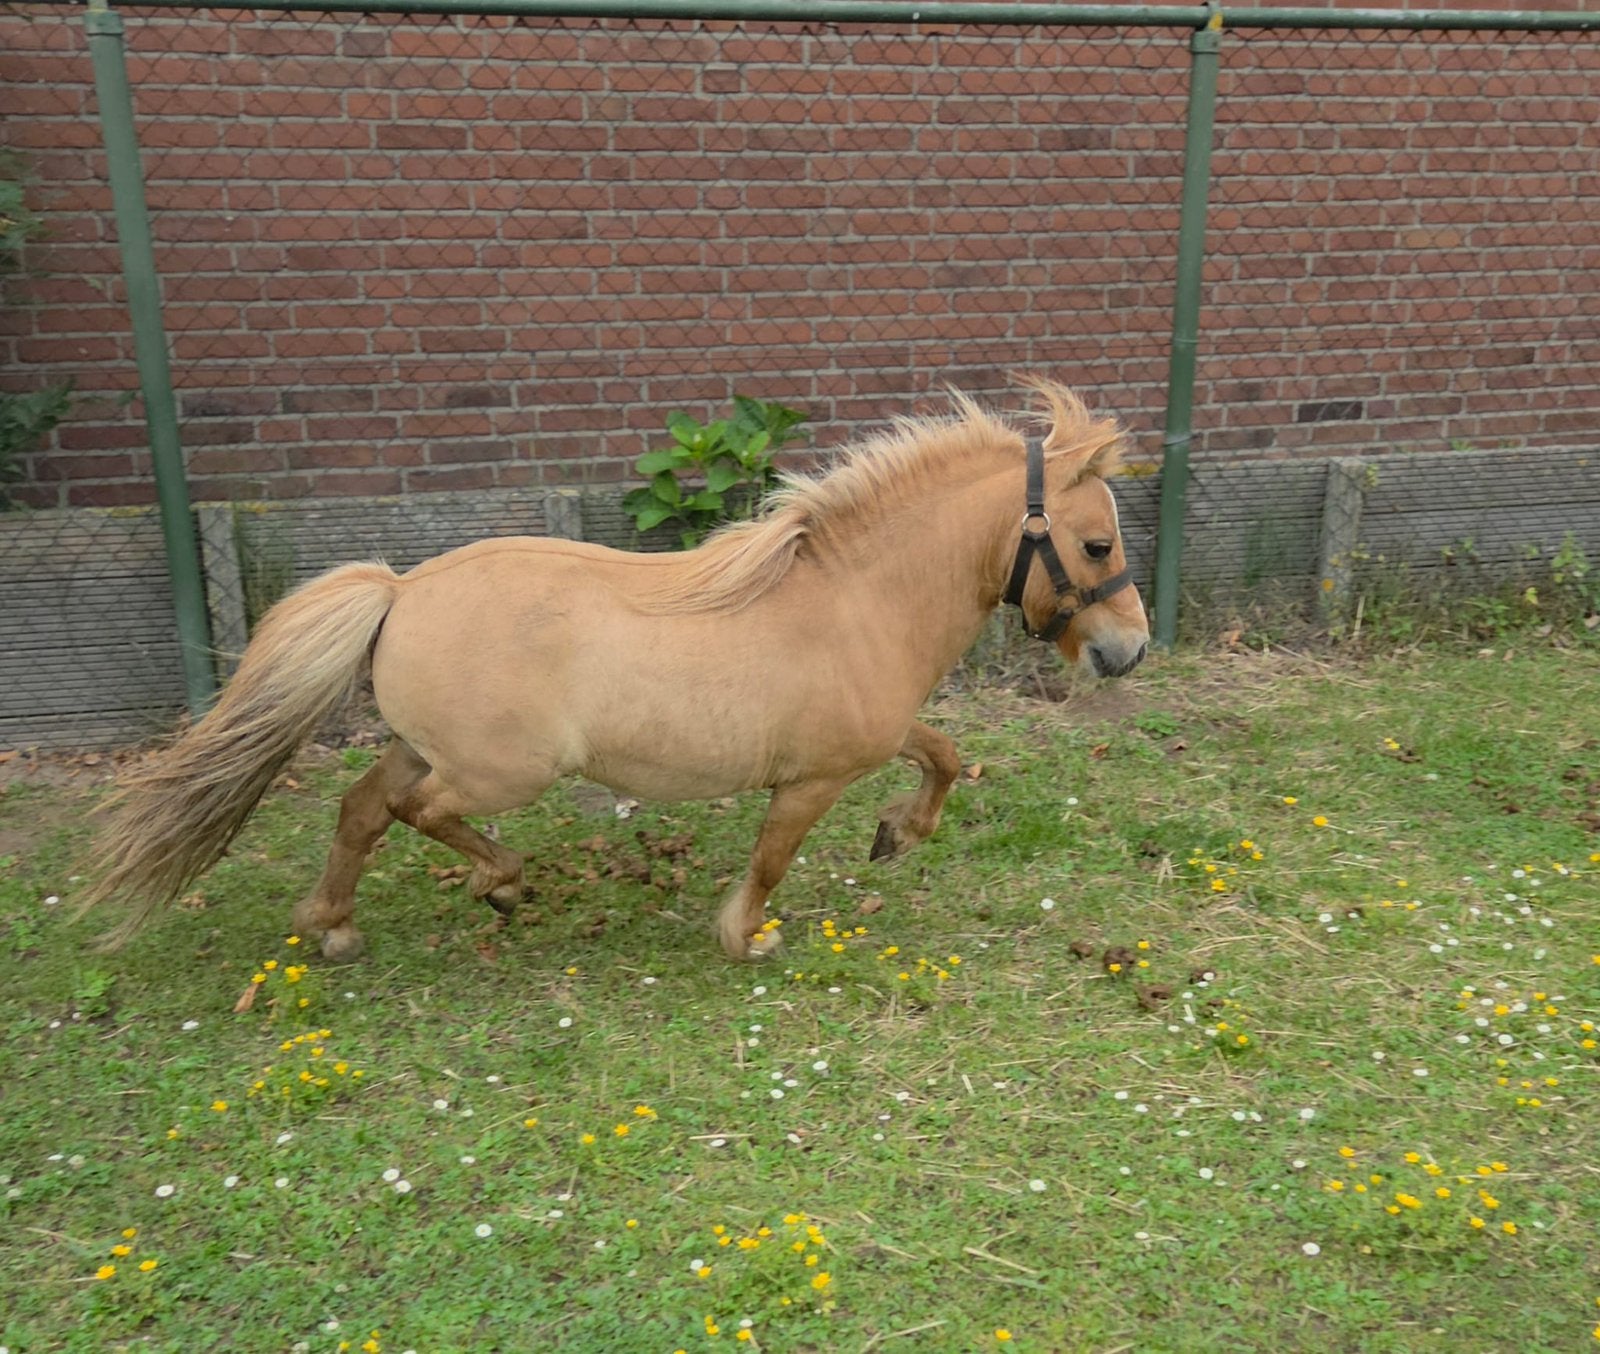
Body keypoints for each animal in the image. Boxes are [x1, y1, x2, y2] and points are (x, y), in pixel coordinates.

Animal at [79, 379, 1149, 962]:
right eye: (1097, 545)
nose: (1128, 650)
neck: (854, 597)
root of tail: (402, 588)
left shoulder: (876, 737)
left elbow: (943, 754)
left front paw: (898, 834)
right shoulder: (812, 779)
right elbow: (773, 858)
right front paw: (746, 935)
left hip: (419, 746)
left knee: (362, 809)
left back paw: (334, 925)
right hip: (500, 771)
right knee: (424, 814)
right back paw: (500, 882)